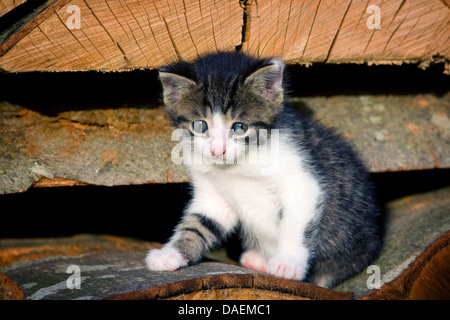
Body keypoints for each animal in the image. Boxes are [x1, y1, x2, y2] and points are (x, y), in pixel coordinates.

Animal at [146, 52, 382, 288]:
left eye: (239, 127)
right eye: (200, 125)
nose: (217, 150)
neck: (237, 164)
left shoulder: (301, 182)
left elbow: (294, 224)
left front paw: (288, 263)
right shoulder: (213, 199)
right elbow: (198, 224)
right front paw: (170, 254)